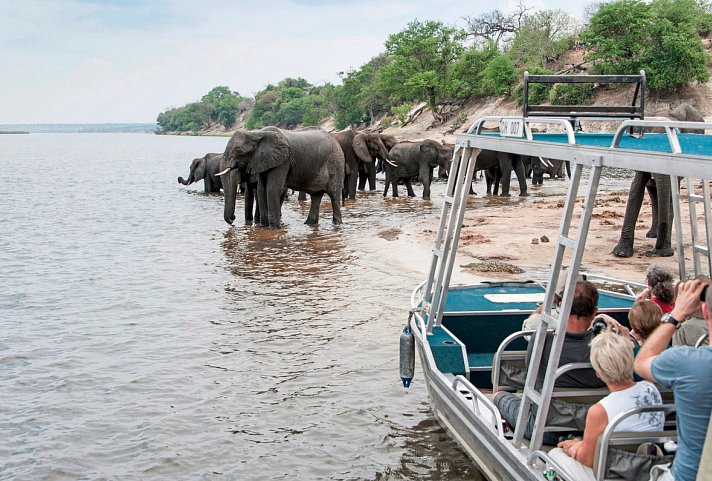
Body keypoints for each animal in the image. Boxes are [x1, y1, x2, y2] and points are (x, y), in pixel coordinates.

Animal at [608, 102, 704, 256]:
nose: (652, 251)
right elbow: (635, 191)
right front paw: (621, 254)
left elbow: (670, 198)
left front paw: (664, 253)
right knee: (653, 193)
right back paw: (653, 235)